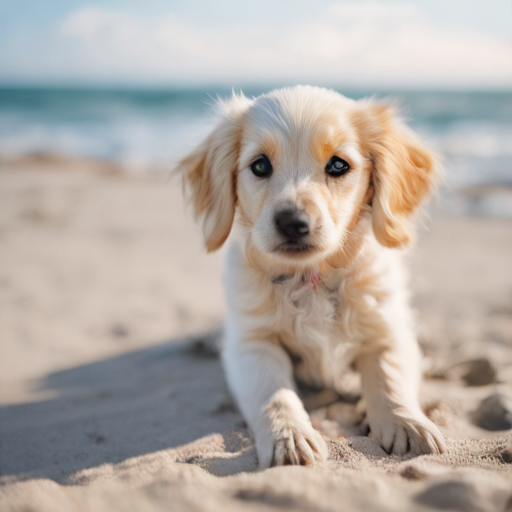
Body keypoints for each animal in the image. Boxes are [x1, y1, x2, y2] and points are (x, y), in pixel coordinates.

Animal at [178, 87, 446, 468]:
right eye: (259, 165)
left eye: (338, 165)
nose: (292, 222)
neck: (311, 278)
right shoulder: (251, 344)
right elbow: (274, 393)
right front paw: (289, 436)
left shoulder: (389, 333)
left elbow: (388, 377)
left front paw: (407, 425)